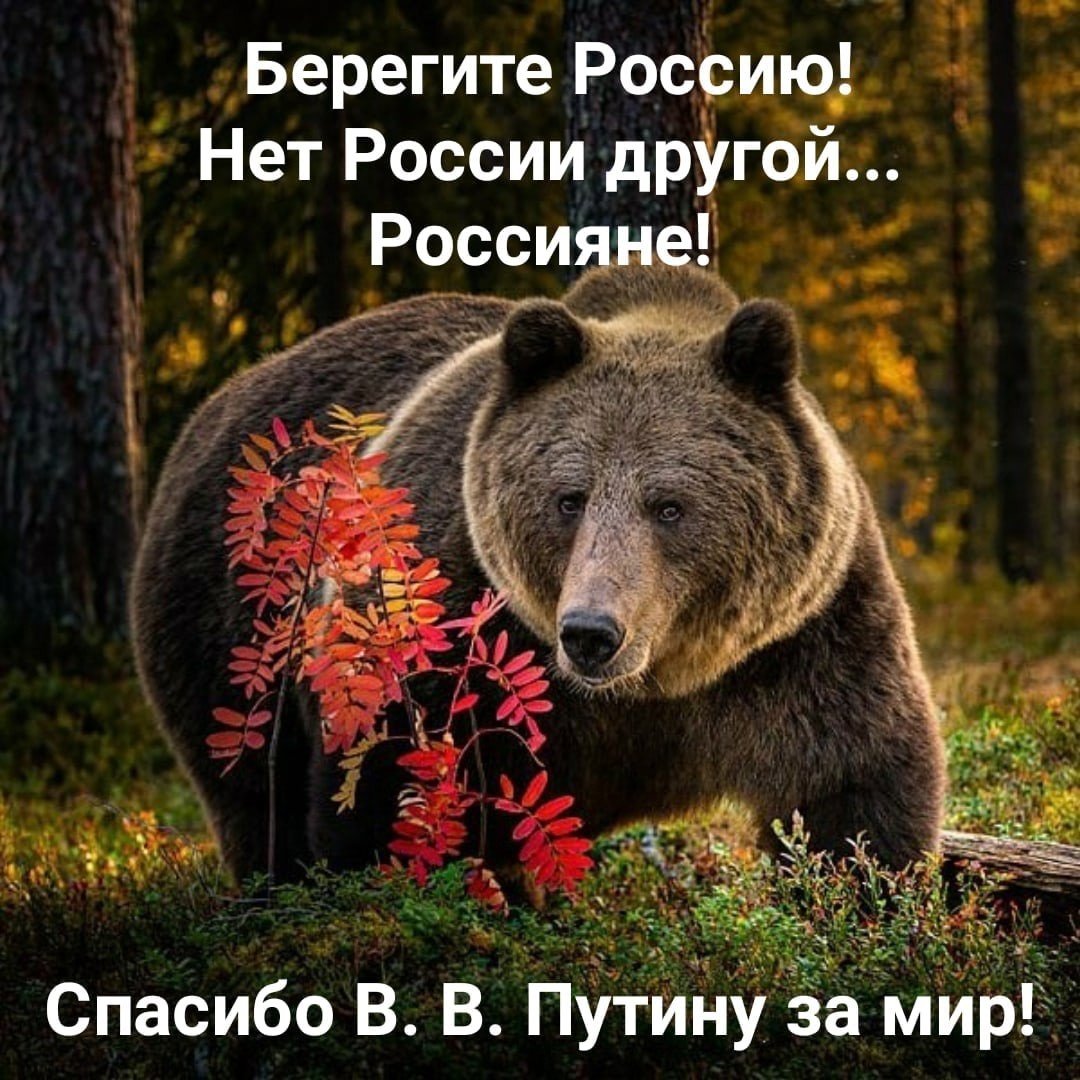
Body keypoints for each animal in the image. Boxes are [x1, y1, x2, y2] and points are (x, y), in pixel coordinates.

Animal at [131, 264, 946, 885]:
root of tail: (219, 403)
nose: (591, 632)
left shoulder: (803, 637)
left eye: (669, 505)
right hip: (229, 623)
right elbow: (389, 792)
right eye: (569, 497)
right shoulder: (447, 627)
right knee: (251, 800)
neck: (653, 687)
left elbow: (856, 793)